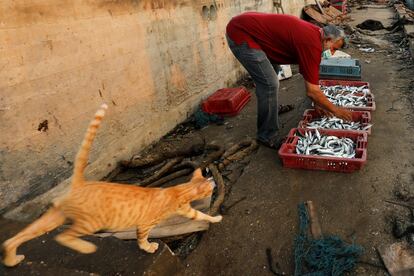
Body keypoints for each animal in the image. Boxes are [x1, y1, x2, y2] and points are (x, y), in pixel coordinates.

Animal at [1, 104, 222, 268]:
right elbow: (142, 238)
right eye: (208, 182)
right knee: (64, 236)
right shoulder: (145, 224)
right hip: (90, 222)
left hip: (54, 217)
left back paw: (12, 259)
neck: (176, 191)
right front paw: (148, 247)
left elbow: (202, 215)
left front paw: (216, 218)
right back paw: (86, 248)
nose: (213, 181)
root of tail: (80, 182)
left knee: (17, 237)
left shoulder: (187, 211)